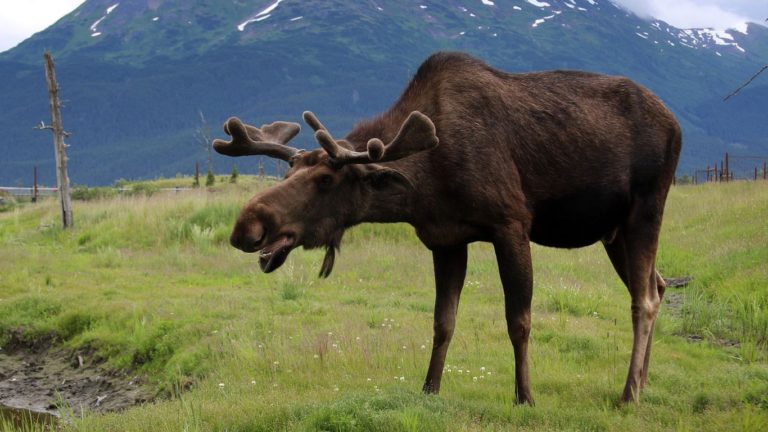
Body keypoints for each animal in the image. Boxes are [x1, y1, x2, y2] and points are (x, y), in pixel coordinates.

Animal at [213, 51, 680, 404]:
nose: (247, 225)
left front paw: (524, 396)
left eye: (326, 179)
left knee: (643, 300)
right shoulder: (445, 239)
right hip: (613, 232)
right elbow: (443, 322)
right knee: (657, 285)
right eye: (290, 170)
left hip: (646, 208)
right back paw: (643, 381)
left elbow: (519, 321)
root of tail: (676, 124)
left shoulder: (511, 223)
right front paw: (430, 388)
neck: (425, 182)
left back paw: (628, 394)